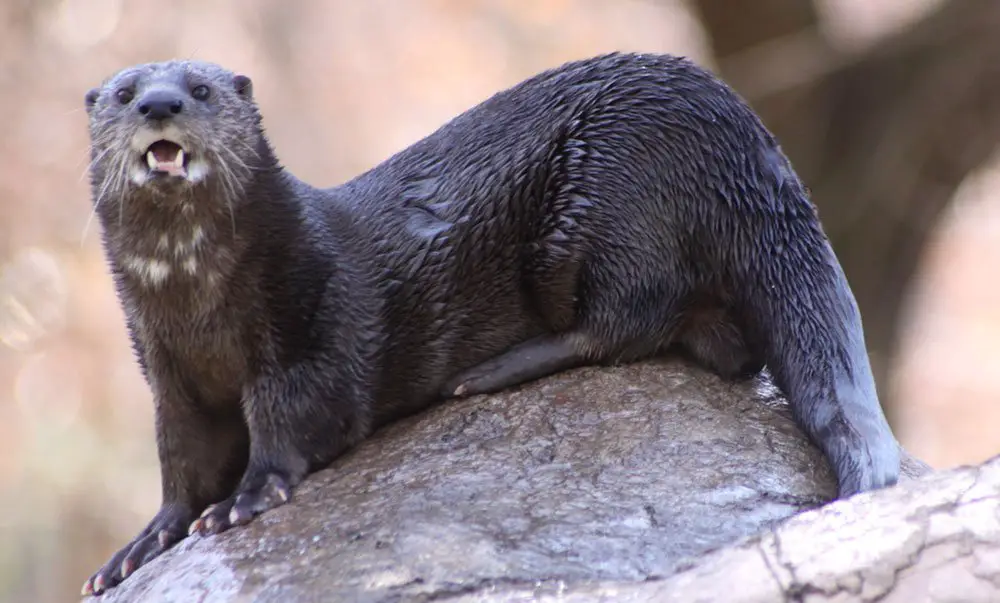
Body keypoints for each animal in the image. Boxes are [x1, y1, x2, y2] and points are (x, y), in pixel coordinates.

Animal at [80, 52, 900, 596]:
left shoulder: (309, 331)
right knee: (722, 346)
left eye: (201, 89)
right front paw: (145, 540)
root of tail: (750, 145)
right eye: (123, 93)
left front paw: (245, 498)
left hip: (609, 197)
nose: (160, 106)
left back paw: (494, 370)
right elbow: (183, 460)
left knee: (631, 318)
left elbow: (299, 419)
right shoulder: (170, 378)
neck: (200, 310)